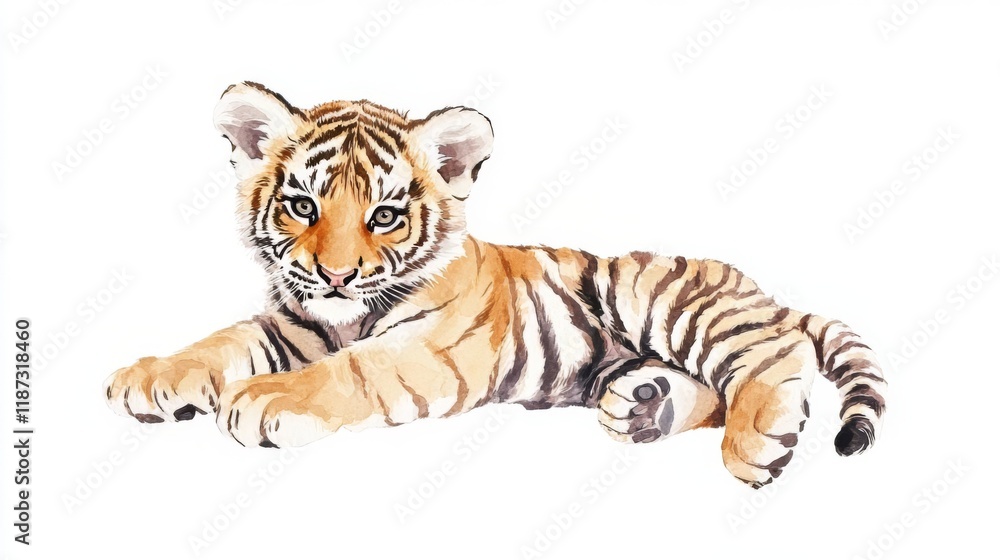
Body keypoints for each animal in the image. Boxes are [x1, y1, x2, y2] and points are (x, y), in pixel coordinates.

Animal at [103, 82, 887, 488]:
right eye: (303, 206)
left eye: (385, 216)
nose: (336, 274)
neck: (343, 316)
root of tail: (760, 286)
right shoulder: (291, 325)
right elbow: (222, 340)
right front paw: (149, 377)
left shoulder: (426, 349)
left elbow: (349, 370)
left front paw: (263, 400)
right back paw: (643, 409)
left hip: (656, 296)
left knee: (776, 352)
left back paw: (758, 446)